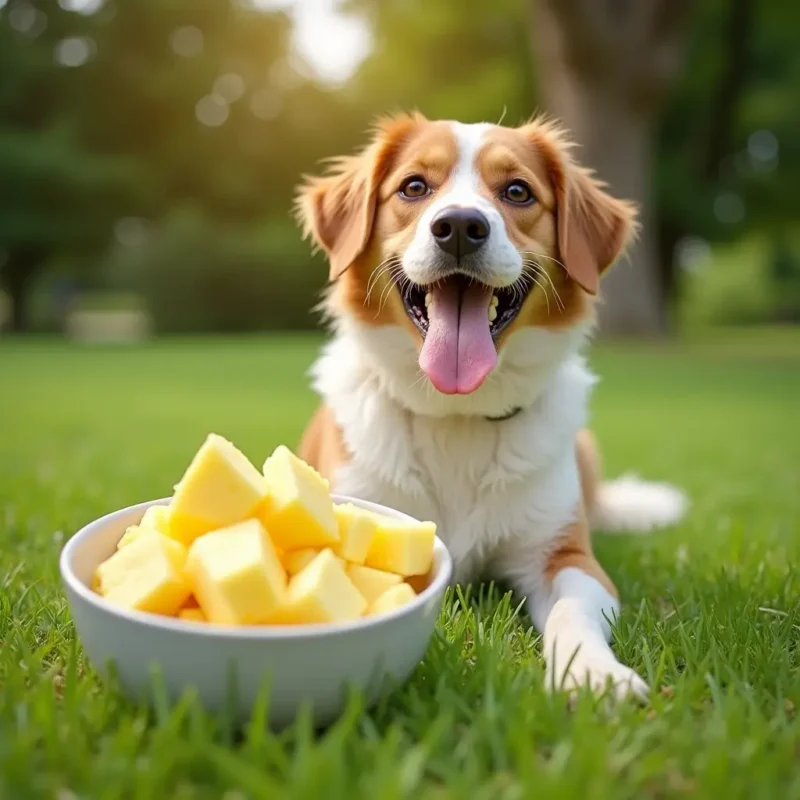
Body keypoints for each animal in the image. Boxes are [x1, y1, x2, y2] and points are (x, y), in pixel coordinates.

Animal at [294, 114, 688, 700]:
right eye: (414, 186)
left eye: (517, 191)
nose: (459, 226)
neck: (457, 415)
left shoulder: (566, 556)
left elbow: (572, 611)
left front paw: (596, 675)